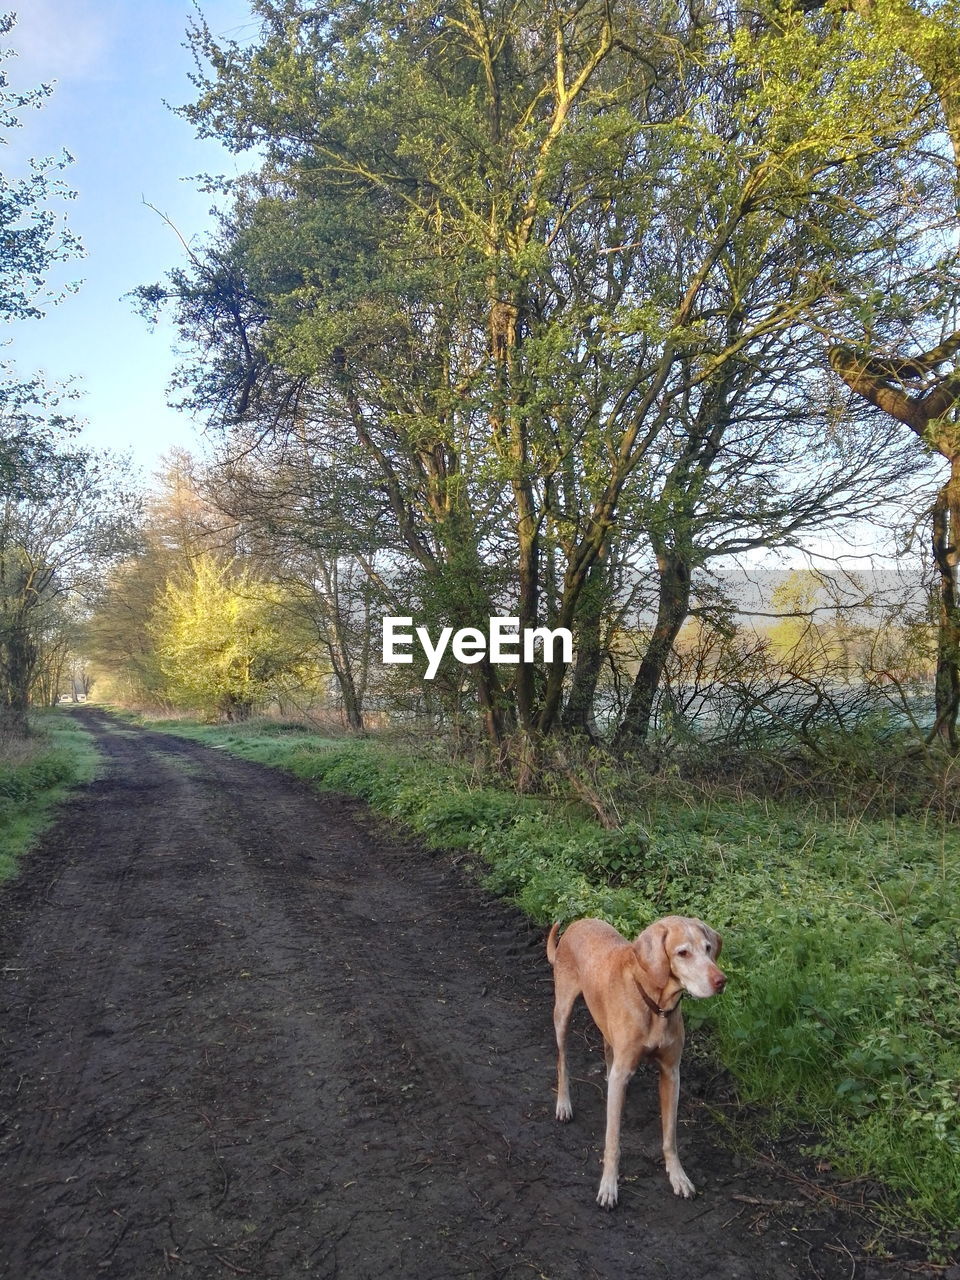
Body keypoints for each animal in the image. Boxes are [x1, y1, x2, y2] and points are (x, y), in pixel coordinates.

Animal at [547, 916, 721, 1203]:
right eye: (682, 953)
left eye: (708, 948)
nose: (721, 980)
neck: (657, 1006)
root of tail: (579, 922)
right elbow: (613, 1142)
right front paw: (608, 1185)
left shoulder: (671, 1074)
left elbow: (670, 1136)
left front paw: (678, 1176)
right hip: (562, 1014)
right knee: (563, 1062)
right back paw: (563, 1104)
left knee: (609, 1058)